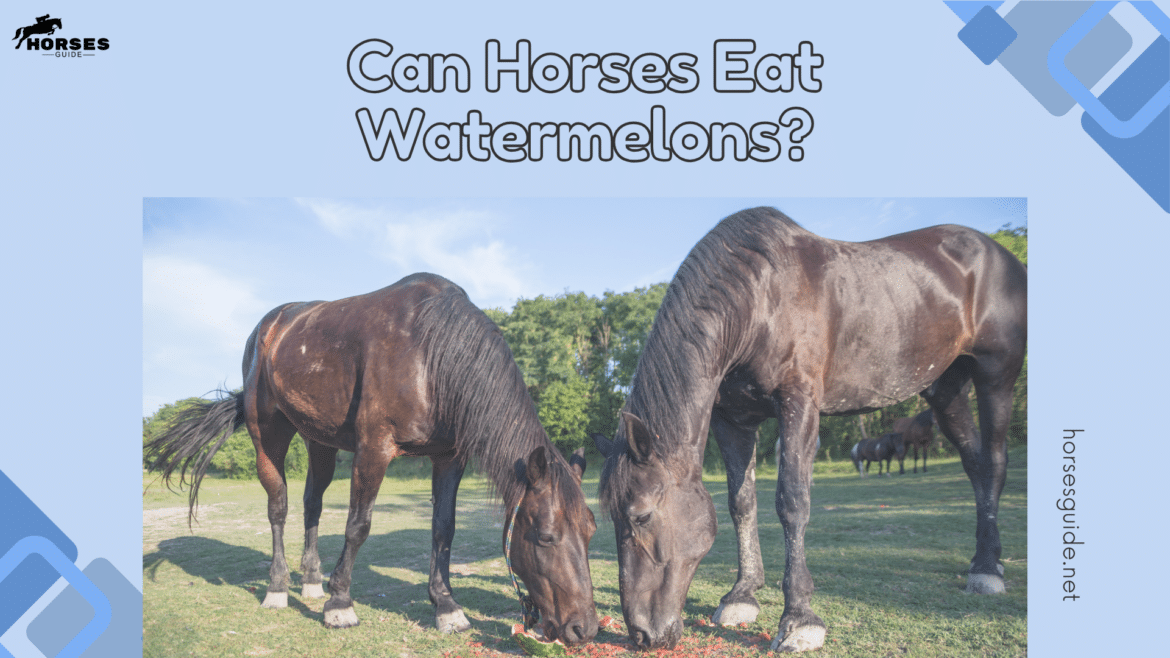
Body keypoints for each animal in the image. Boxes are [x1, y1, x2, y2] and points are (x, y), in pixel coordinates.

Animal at [145, 273, 599, 644]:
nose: (584, 628)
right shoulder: (374, 450)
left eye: (592, 531)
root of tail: (272, 326)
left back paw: (312, 581)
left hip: (320, 442)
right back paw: (278, 587)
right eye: (545, 536)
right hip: (269, 435)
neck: (431, 353)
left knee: (312, 504)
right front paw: (339, 605)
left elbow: (444, 530)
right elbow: (357, 526)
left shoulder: (449, 458)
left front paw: (446, 606)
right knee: (279, 508)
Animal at [594, 207, 1026, 651]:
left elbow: (792, 501)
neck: (760, 298)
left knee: (993, 462)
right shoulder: (733, 419)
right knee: (974, 464)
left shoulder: (799, 403)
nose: (642, 634)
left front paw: (799, 617)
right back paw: (982, 560)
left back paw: (988, 568)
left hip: (996, 376)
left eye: (642, 516)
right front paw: (742, 595)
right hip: (946, 389)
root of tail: (997, 253)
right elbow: (741, 502)